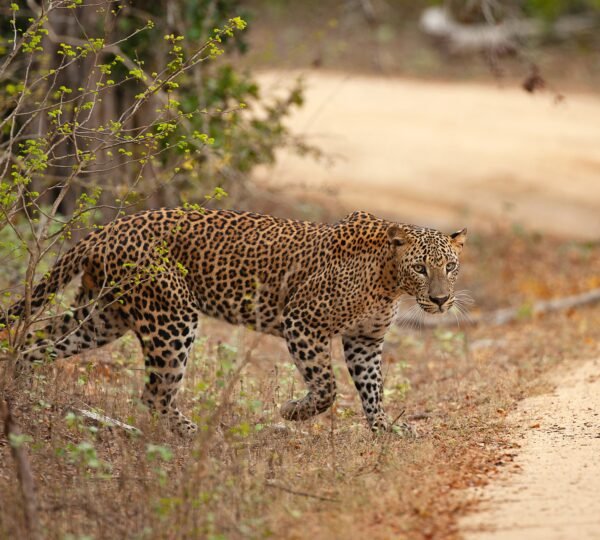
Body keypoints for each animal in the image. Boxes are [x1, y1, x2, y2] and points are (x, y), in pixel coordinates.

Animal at [2, 209, 466, 436]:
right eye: (421, 268)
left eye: (450, 266)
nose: (441, 300)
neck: (389, 280)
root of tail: (107, 228)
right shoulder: (303, 321)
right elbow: (326, 388)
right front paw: (293, 412)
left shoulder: (364, 340)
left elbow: (372, 388)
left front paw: (385, 428)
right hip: (172, 316)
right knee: (154, 394)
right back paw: (194, 432)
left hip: (101, 317)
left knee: (35, 343)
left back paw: (19, 392)